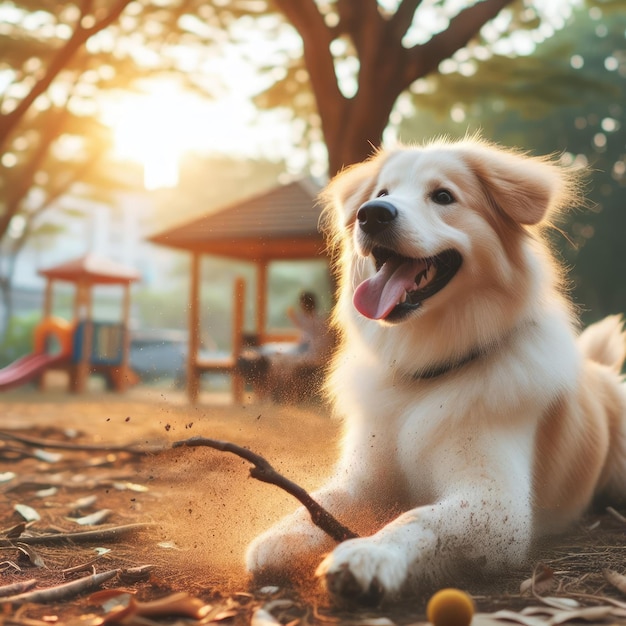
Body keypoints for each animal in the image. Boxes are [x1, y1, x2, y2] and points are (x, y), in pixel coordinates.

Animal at [244, 138, 624, 600]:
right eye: (383, 193)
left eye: (443, 196)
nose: (372, 214)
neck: (425, 376)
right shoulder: (363, 480)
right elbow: (321, 500)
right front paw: (282, 535)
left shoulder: (496, 503)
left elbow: (418, 517)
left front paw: (369, 554)